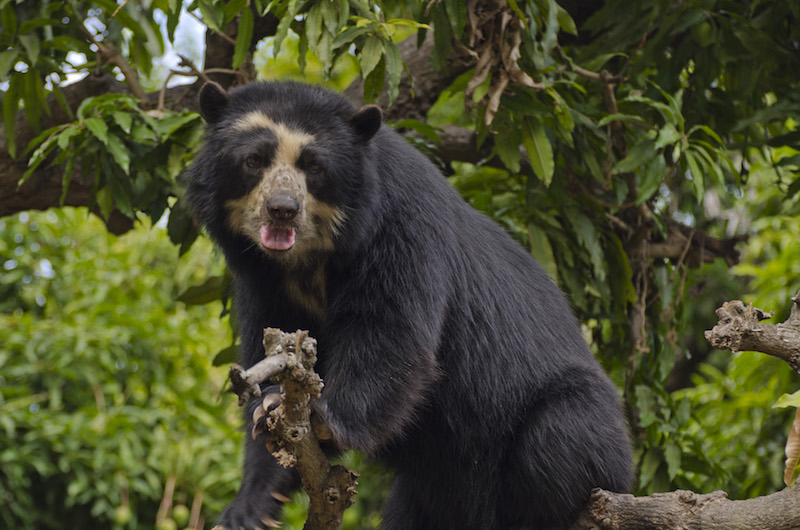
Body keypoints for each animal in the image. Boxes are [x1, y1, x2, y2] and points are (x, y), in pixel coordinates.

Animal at [186, 79, 632, 528]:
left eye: (314, 166)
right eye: (254, 160)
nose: (282, 210)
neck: (308, 260)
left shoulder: (400, 227)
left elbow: (390, 333)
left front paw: (322, 418)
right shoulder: (262, 282)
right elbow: (272, 353)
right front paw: (250, 498)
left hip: (576, 430)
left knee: (557, 436)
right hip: (426, 491)